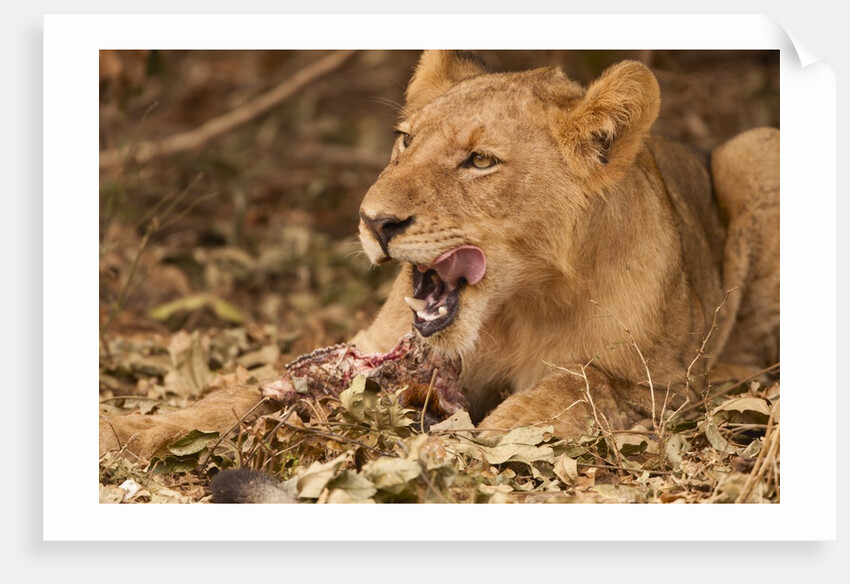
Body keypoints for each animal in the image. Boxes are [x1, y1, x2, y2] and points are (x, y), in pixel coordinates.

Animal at [100, 51, 779, 477]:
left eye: (479, 161)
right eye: (405, 140)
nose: (374, 221)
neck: (515, 308)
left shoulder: (660, 388)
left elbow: (568, 389)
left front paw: (454, 449)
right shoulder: (371, 351)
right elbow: (234, 395)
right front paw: (122, 431)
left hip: (755, 147)